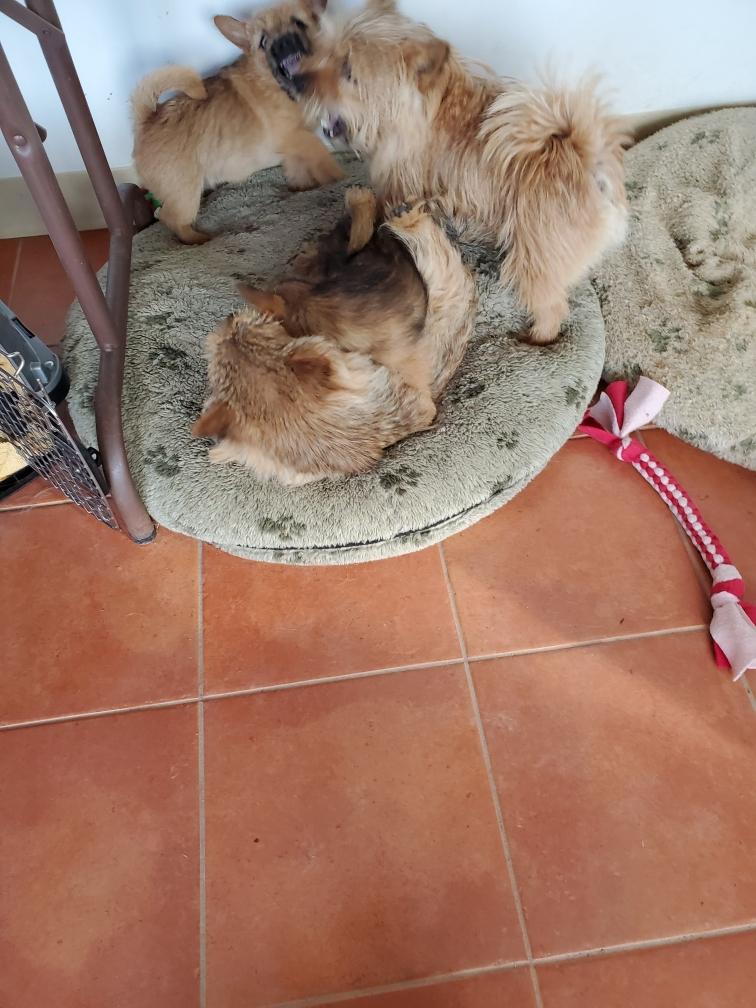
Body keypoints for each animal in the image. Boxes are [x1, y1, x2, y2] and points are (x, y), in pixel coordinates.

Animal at [130, 0, 343, 244]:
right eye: (263, 42)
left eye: (299, 23)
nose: (284, 42)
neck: (277, 84)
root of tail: (148, 119)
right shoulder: (295, 137)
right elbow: (322, 156)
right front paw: (336, 178)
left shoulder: (294, 146)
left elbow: (299, 169)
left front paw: (304, 188)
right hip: (185, 194)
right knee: (170, 218)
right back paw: (197, 239)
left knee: (163, 213)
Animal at [298, 0, 629, 345]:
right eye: (327, 50)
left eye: (348, 71)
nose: (296, 79)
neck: (422, 115)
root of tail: (588, 161)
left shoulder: (400, 193)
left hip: (534, 263)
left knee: (552, 309)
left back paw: (536, 339)